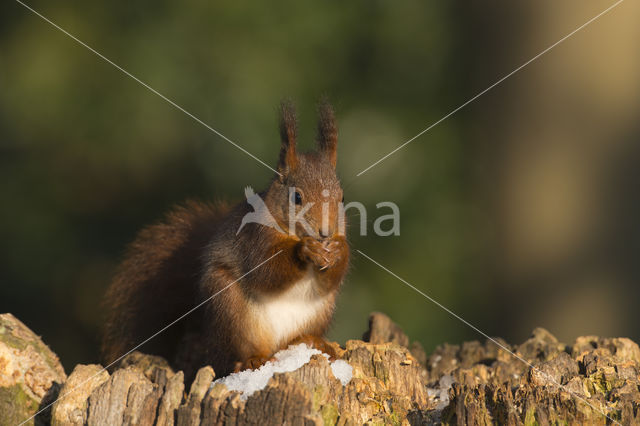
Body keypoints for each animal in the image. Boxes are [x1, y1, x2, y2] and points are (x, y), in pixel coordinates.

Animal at [101, 100, 350, 380]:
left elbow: (331, 279)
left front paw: (339, 251)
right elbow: (265, 271)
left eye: (341, 198)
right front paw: (304, 250)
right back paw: (253, 359)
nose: (326, 232)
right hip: (229, 308)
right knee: (236, 355)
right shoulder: (254, 239)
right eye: (296, 198)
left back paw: (312, 342)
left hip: (320, 311)